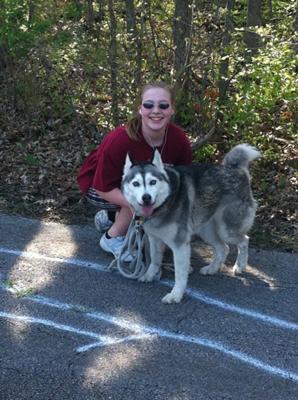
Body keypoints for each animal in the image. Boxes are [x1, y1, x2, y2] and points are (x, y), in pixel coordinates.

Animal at [122, 145, 260, 304]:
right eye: (136, 183)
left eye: (153, 182)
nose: (146, 198)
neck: (165, 202)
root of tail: (236, 169)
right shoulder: (154, 239)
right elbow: (155, 261)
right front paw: (150, 275)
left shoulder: (180, 245)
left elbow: (180, 275)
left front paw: (176, 294)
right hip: (207, 230)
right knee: (223, 248)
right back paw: (212, 268)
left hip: (226, 230)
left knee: (244, 241)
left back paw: (239, 266)